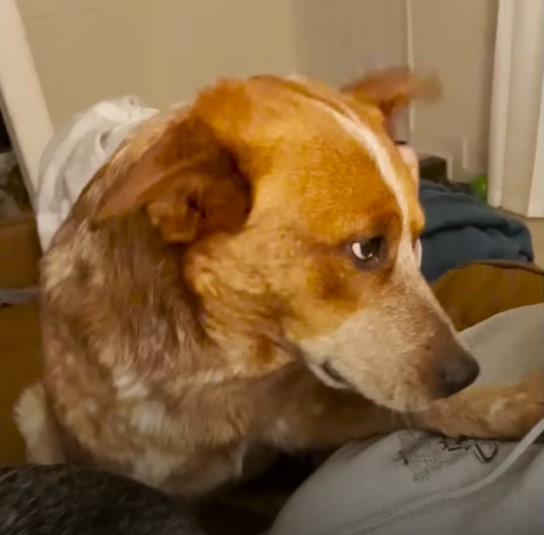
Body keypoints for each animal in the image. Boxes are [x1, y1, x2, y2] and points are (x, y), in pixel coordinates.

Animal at [14, 69, 540, 496]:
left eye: (418, 239)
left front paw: (513, 404)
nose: (466, 371)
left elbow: (425, 409)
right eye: (366, 248)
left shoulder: (298, 413)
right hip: (33, 409)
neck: (220, 367)